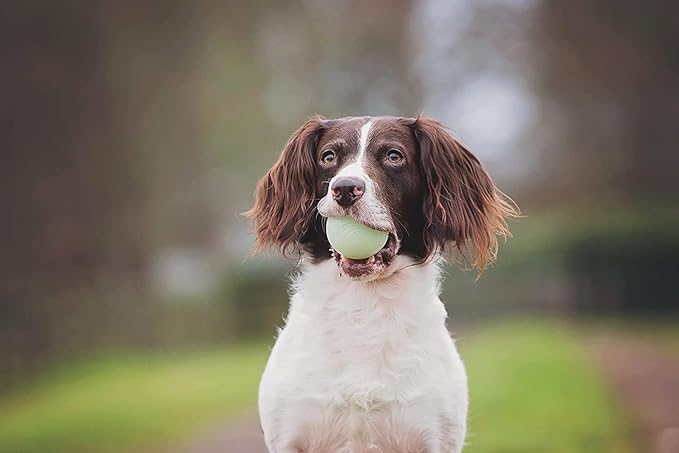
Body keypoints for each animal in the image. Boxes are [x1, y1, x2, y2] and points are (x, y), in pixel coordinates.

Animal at [247, 115, 516, 452]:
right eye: (329, 157)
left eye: (393, 156)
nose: (344, 189)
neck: (364, 307)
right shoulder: (287, 434)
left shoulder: (435, 436)